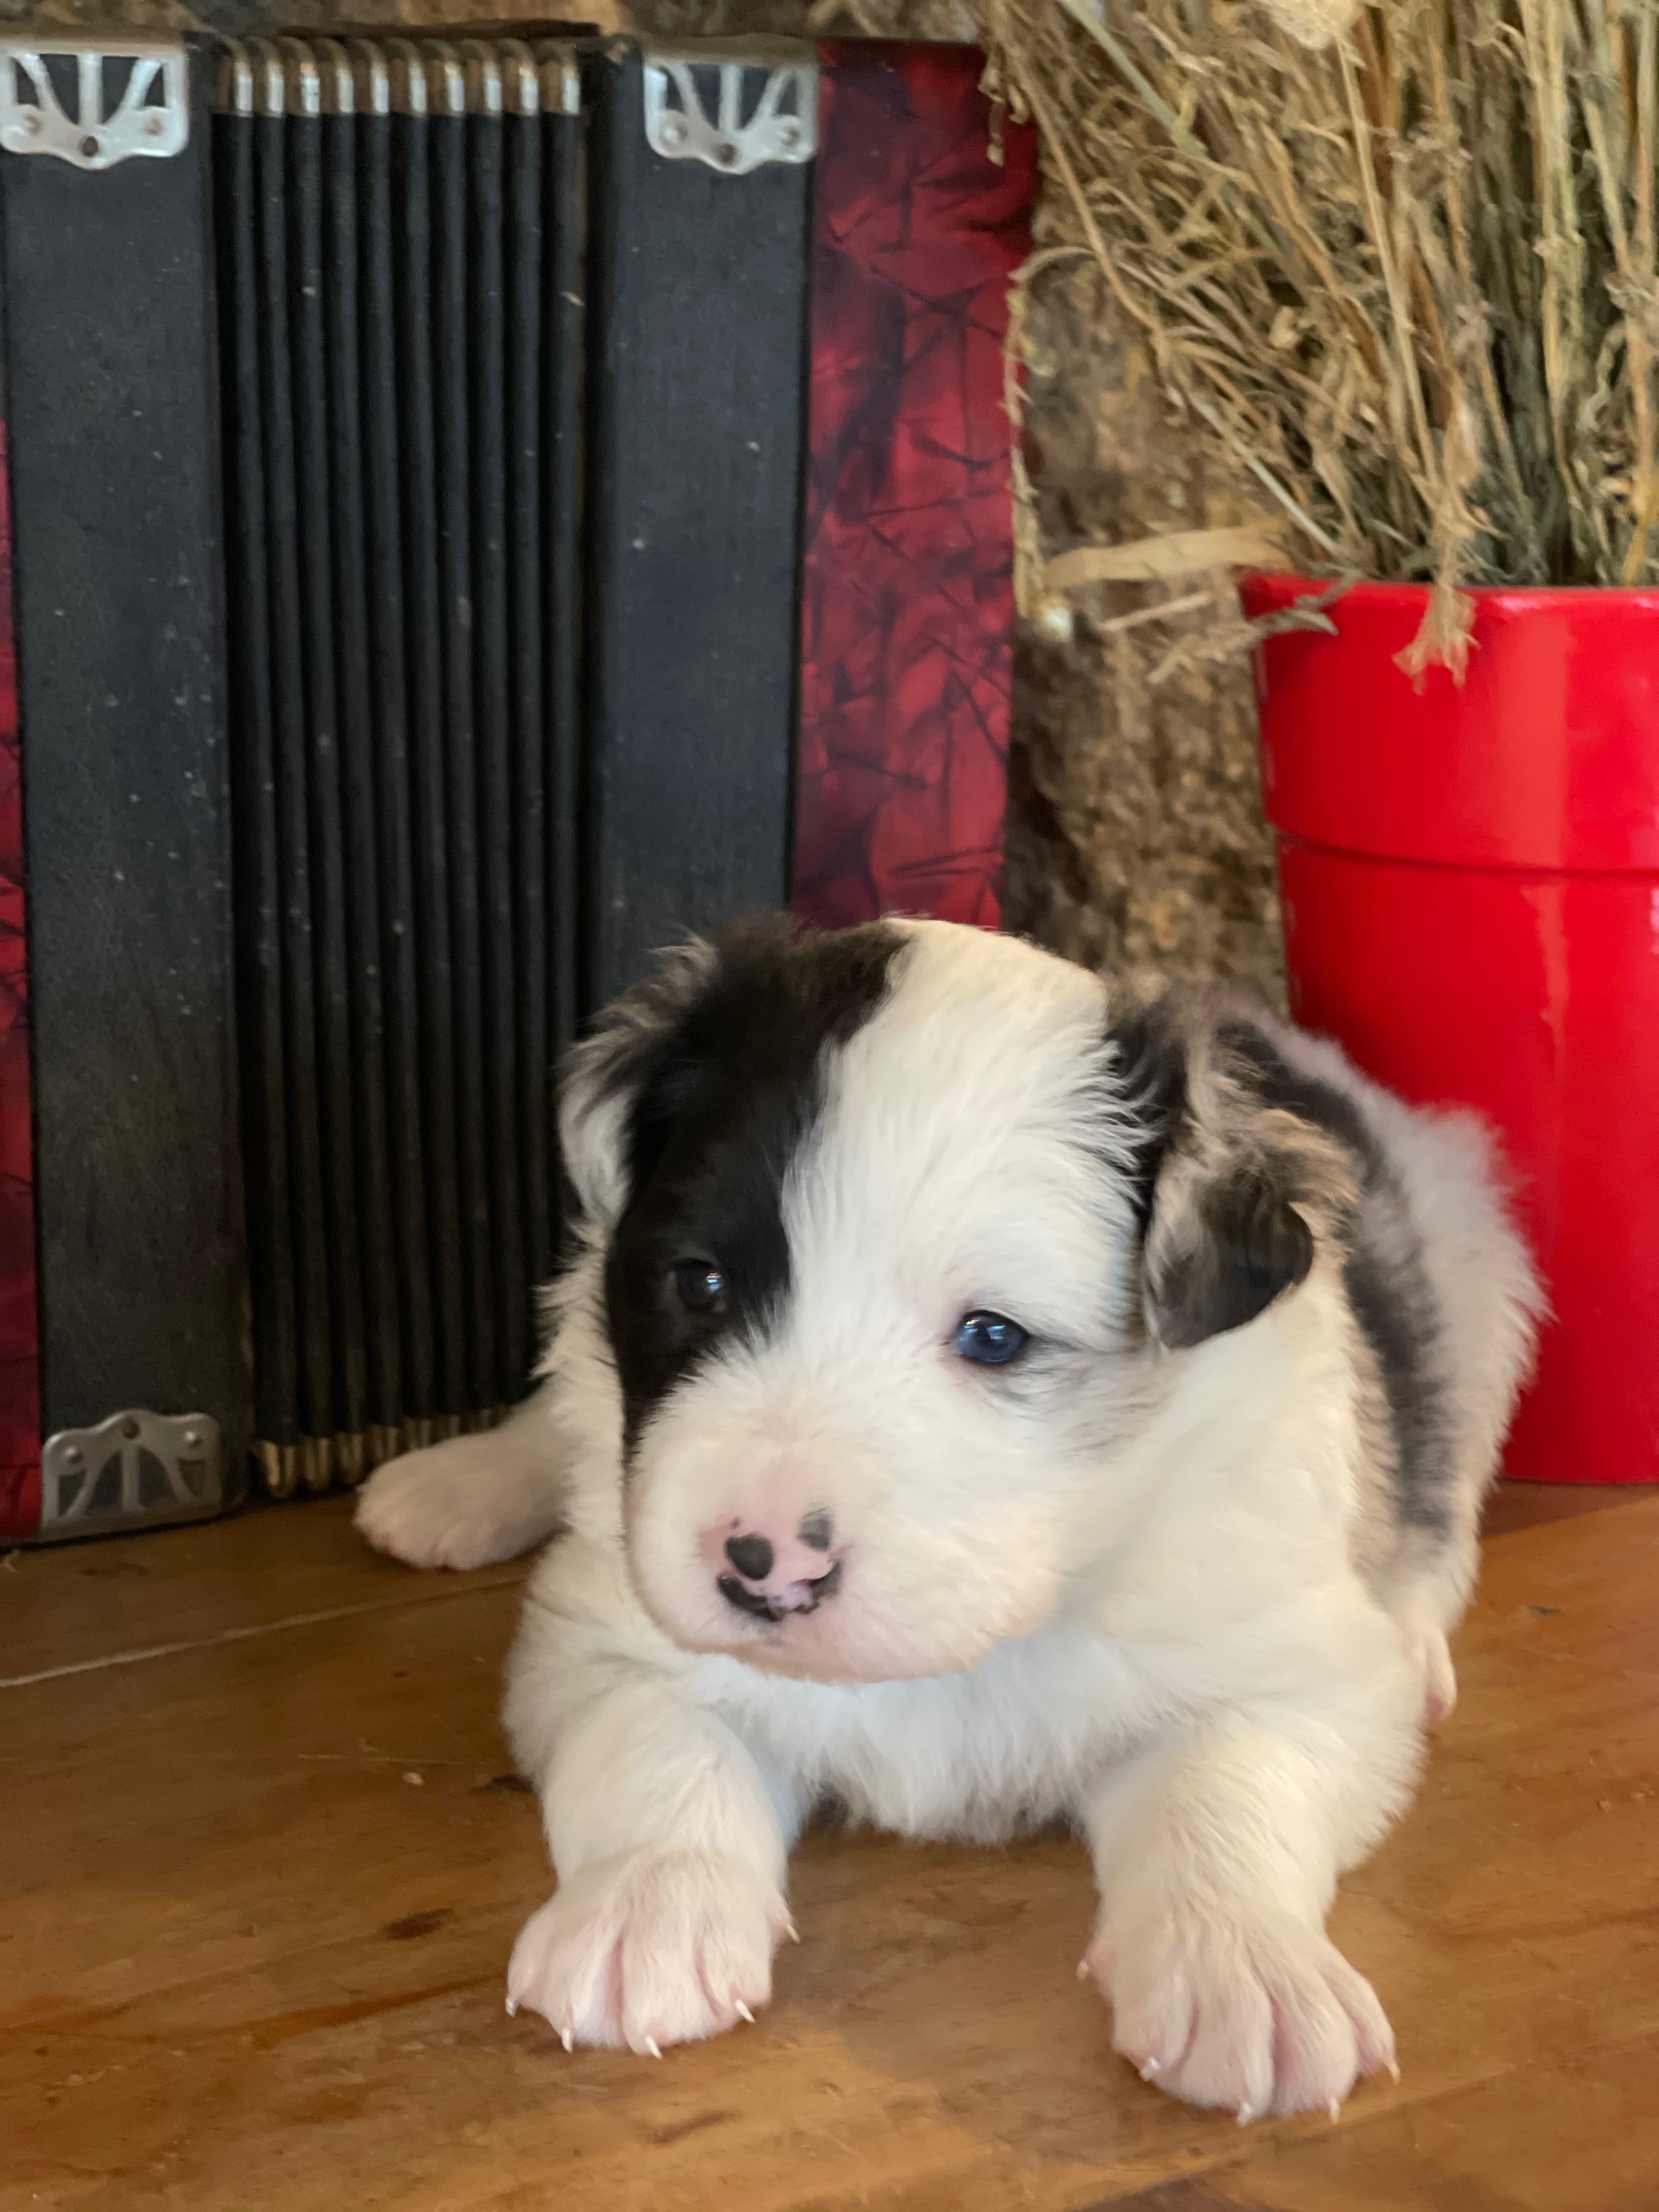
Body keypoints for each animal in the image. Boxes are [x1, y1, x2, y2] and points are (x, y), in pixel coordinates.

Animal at [360, 916, 1548, 2123]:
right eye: (699, 1283)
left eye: (992, 1336)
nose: (762, 1568)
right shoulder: (605, 1631)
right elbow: (658, 1744)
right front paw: (644, 1905)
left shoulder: (1289, 1665)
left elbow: (1225, 1788)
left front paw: (1245, 1971)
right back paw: (462, 1480)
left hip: (1481, 1292)